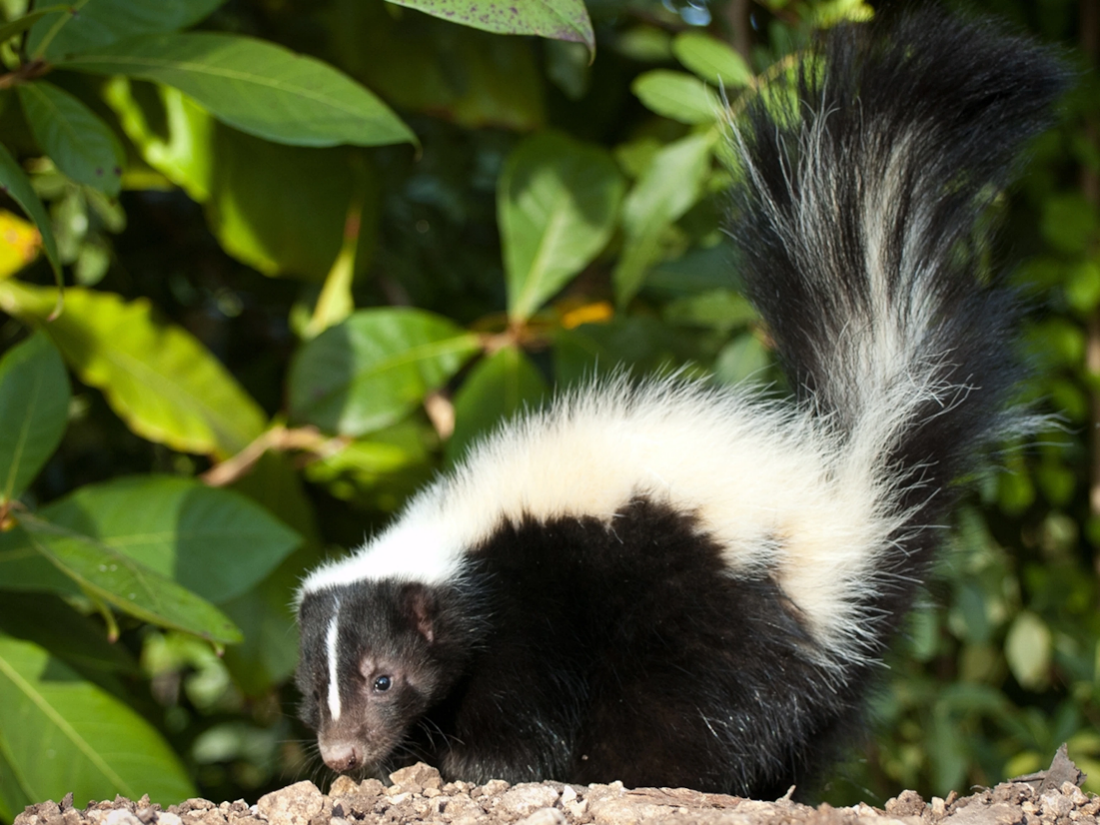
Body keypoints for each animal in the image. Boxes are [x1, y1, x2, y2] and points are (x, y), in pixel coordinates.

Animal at [294, 9, 1064, 796]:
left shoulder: (537, 606)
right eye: (310, 690)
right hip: (834, 647)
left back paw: (638, 771)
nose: (342, 753)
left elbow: (518, 701)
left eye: (383, 678)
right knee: (809, 722)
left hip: (719, 612)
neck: (460, 542)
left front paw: (476, 766)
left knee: (702, 707)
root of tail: (847, 504)